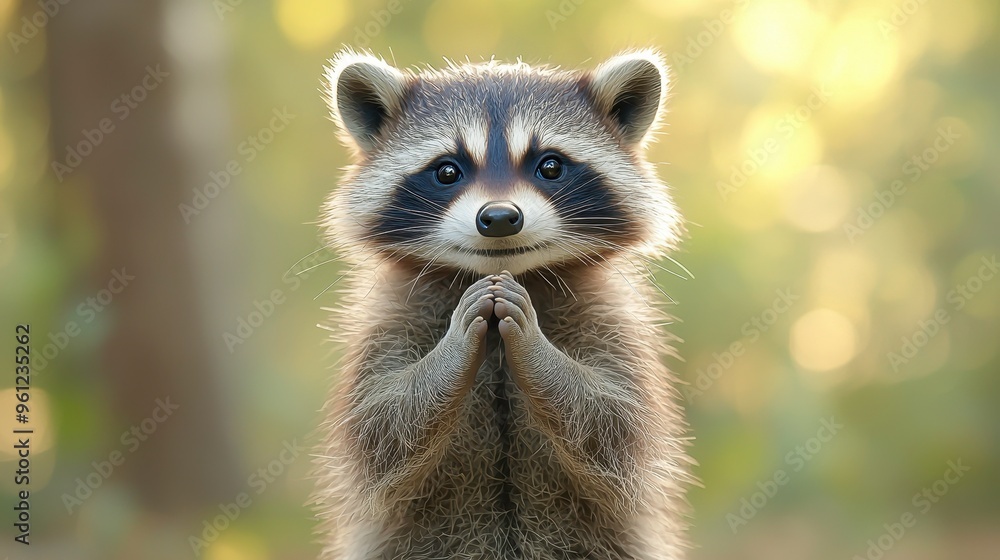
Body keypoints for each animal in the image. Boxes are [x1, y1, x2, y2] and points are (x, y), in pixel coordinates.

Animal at [312, 49, 691, 560]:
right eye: (447, 170)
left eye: (549, 166)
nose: (498, 218)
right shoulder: (388, 318)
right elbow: (381, 425)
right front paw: (452, 351)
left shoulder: (612, 316)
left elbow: (615, 420)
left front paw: (536, 351)